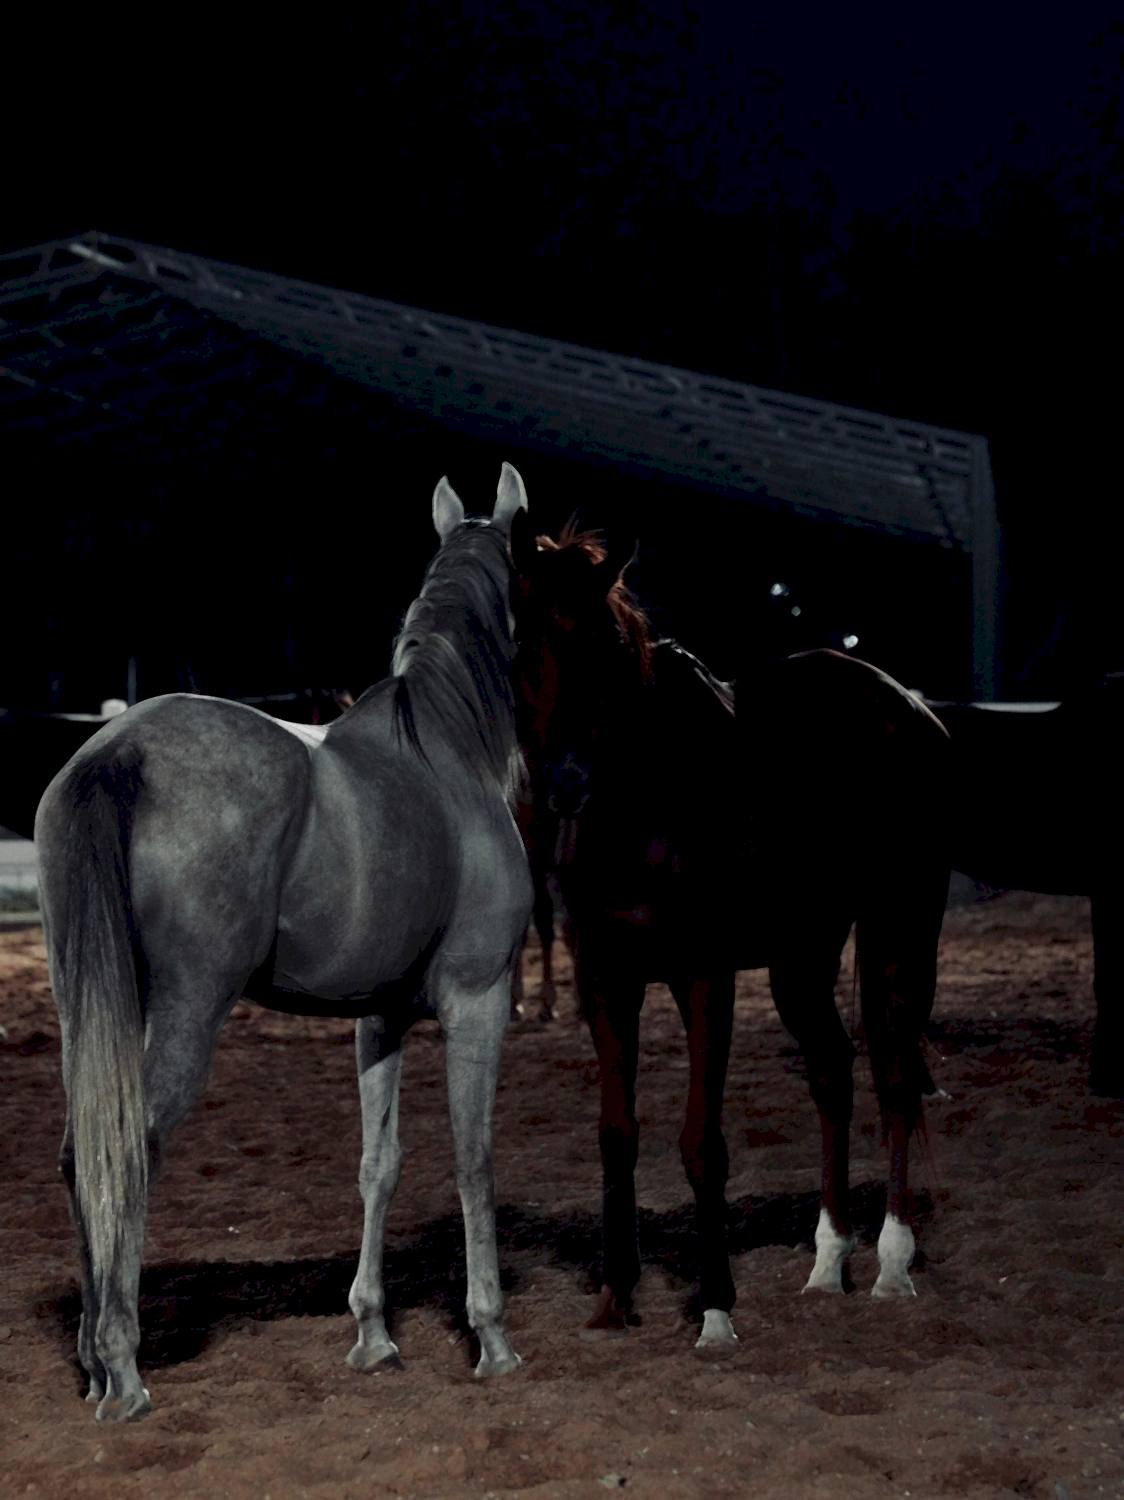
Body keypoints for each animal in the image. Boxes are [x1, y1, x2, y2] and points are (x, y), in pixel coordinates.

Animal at [35, 464, 533, 1421]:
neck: (445, 749)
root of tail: (116, 750)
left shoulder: (378, 1017)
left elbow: (380, 1163)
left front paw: (373, 1334)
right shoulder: (478, 1000)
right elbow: (475, 1157)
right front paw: (490, 1337)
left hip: (92, 1002)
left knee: (85, 1152)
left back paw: (89, 1363)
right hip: (185, 1008)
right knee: (129, 1148)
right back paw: (122, 1369)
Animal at [509, 521, 950, 1348]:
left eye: (605, 644)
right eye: (523, 641)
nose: (564, 785)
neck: (645, 809)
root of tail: (907, 704)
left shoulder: (702, 975)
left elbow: (701, 1144)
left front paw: (714, 1307)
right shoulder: (604, 980)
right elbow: (617, 1133)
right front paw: (616, 1298)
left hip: (898, 930)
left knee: (894, 1078)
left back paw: (892, 1264)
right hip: (802, 953)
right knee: (833, 1072)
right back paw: (827, 1263)